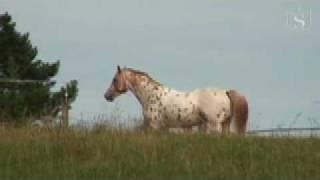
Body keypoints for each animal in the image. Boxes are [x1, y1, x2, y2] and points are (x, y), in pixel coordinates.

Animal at [104, 66, 249, 135]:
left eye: (115, 79)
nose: (107, 96)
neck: (151, 95)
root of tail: (225, 92)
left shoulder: (154, 126)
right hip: (225, 124)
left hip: (214, 124)